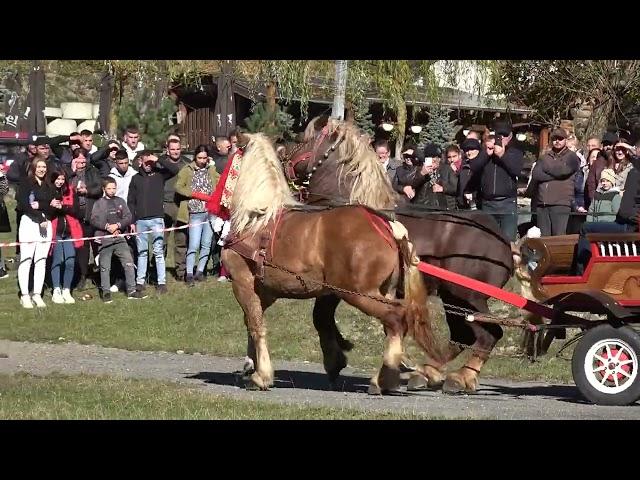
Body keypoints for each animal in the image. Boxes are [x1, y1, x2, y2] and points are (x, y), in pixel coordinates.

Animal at [222, 132, 442, 394]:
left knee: (396, 318)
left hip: (360, 294)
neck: (255, 217)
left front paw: (261, 376)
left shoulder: (242, 282)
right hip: (382, 291)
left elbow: (257, 326)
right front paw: (251, 366)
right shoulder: (266, 291)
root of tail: (387, 227)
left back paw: (386, 377)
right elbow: (252, 323)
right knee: (393, 326)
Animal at [284, 116, 516, 394]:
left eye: (300, 140)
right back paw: (428, 373)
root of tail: (503, 242)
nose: (281, 152)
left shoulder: (338, 284)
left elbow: (321, 317)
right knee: (463, 337)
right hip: (453, 299)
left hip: (468, 297)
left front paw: (336, 359)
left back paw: (460, 377)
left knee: (488, 335)